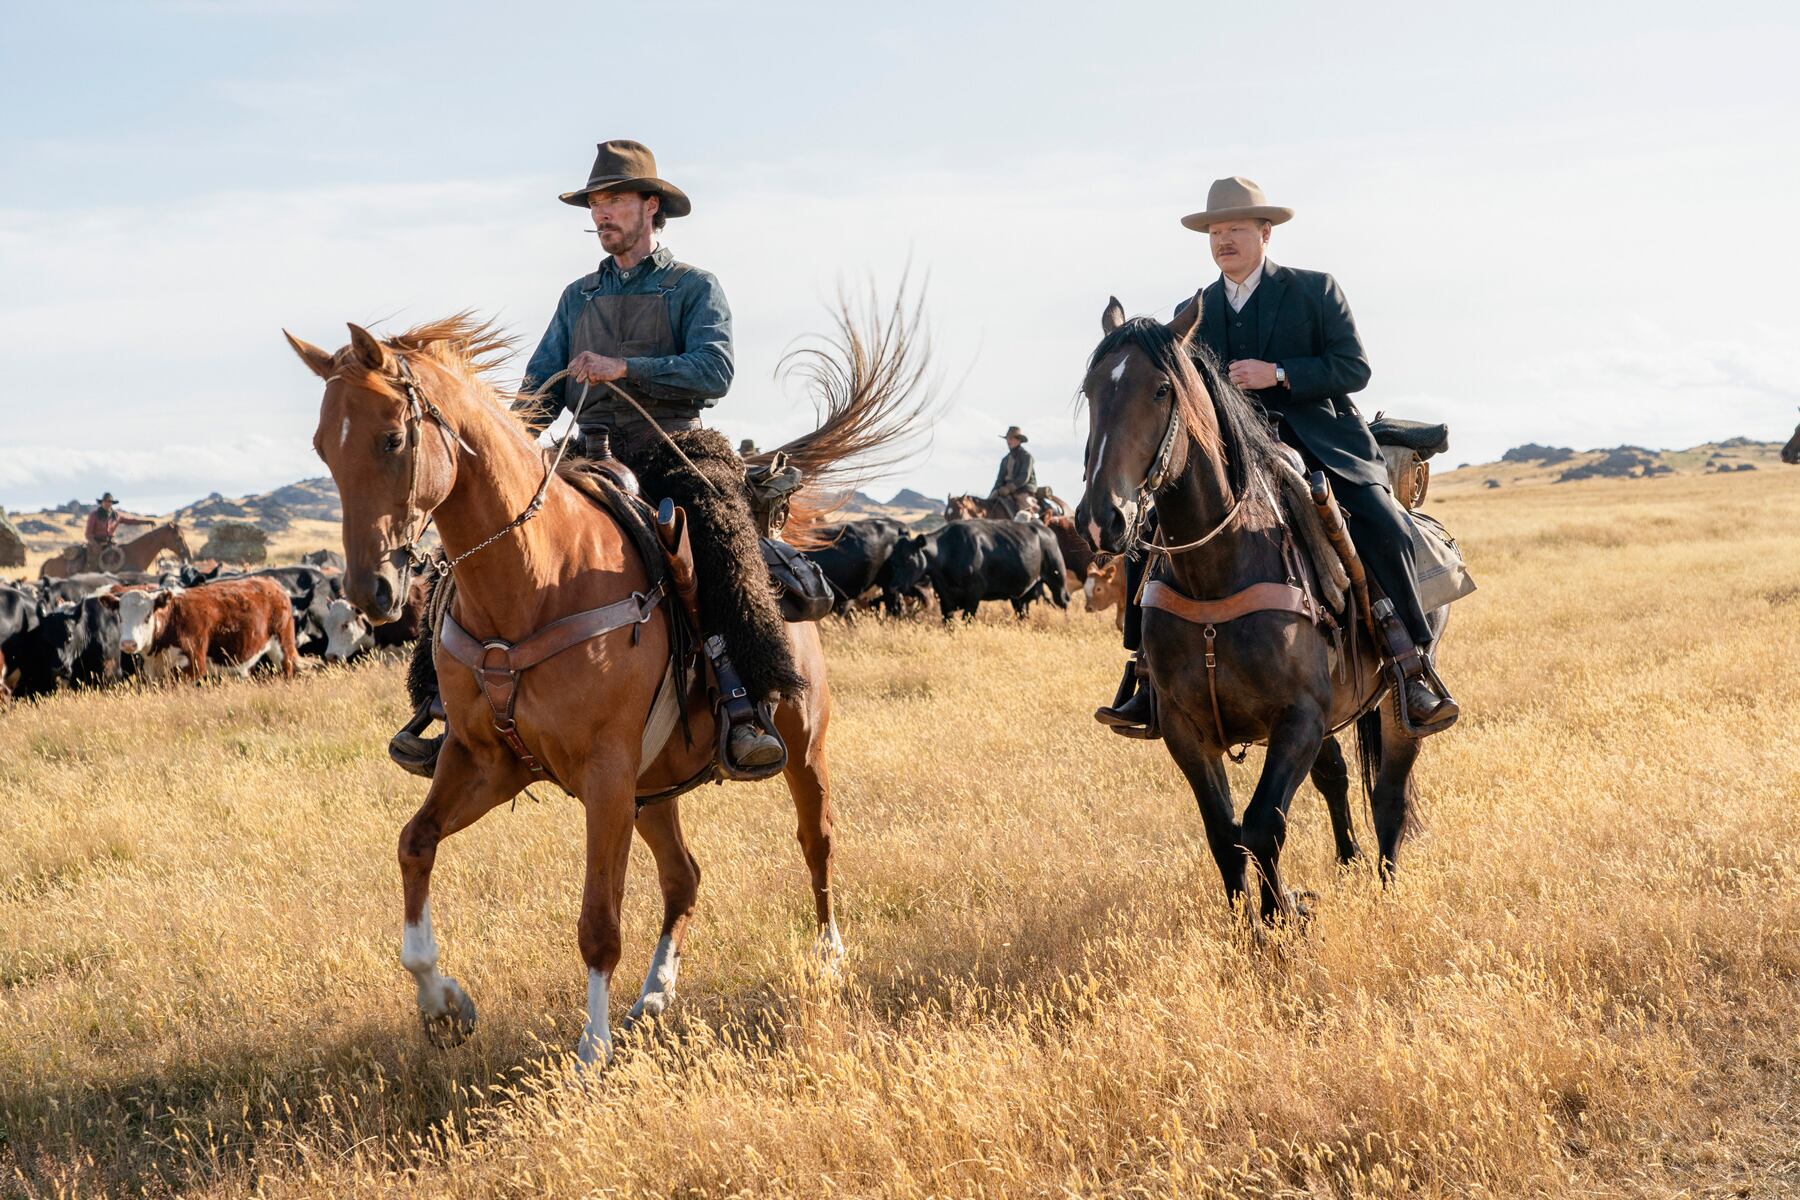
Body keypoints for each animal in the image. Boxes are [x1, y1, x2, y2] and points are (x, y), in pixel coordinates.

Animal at [119, 582, 297, 683]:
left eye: (147, 616)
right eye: (121, 617)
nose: (128, 643)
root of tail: (273, 586)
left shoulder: (193, 664)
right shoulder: (152, 671)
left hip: (283, 648)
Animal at [289, 309, 928, 1072]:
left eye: (391, 438)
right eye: (324, 448)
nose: (371, 592)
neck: (537, 576)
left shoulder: (604, 772)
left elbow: (598, 919)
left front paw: (591, 1050)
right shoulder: (484, 761)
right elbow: (414, 845)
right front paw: (444, 1005)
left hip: (799, 747)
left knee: (816, 841)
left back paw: (827, 957)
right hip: (654, 789)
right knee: (684, 876)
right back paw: (654, 995)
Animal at [892, 521, 1058, 626]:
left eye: (908, 558)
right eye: (892, 557)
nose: (893, 587)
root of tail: (1045, 530)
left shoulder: (974, 595)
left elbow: (967, 620)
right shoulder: (945, 598)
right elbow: (948, 623)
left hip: (1058, 578)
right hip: (1018, 597)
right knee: (1022, 614)